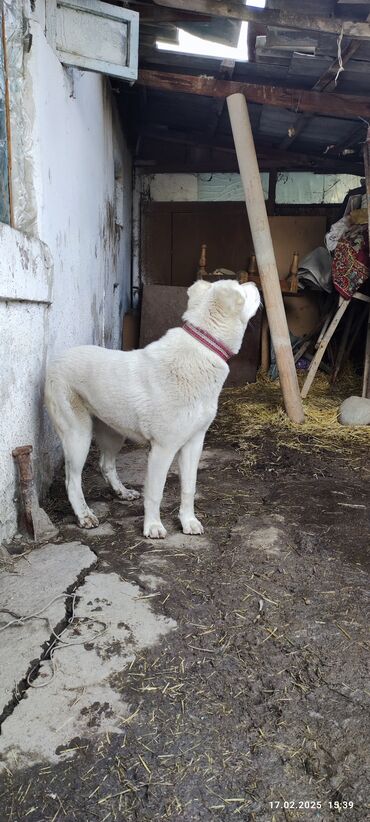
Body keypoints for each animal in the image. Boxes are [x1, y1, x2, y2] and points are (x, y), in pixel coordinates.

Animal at [44, 282, 260, 540]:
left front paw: (188, 522)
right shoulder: (162, 448)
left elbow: (189, 488)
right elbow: (156, 493)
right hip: (78, 436)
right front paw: (153, 526)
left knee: (106, 464)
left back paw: (123, 492)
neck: (204, 346)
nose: (254, 284)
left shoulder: (194, 443)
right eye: (242, 290)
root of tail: (55, 360)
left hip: (113, 433)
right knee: (71, 479)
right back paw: (84, 515)